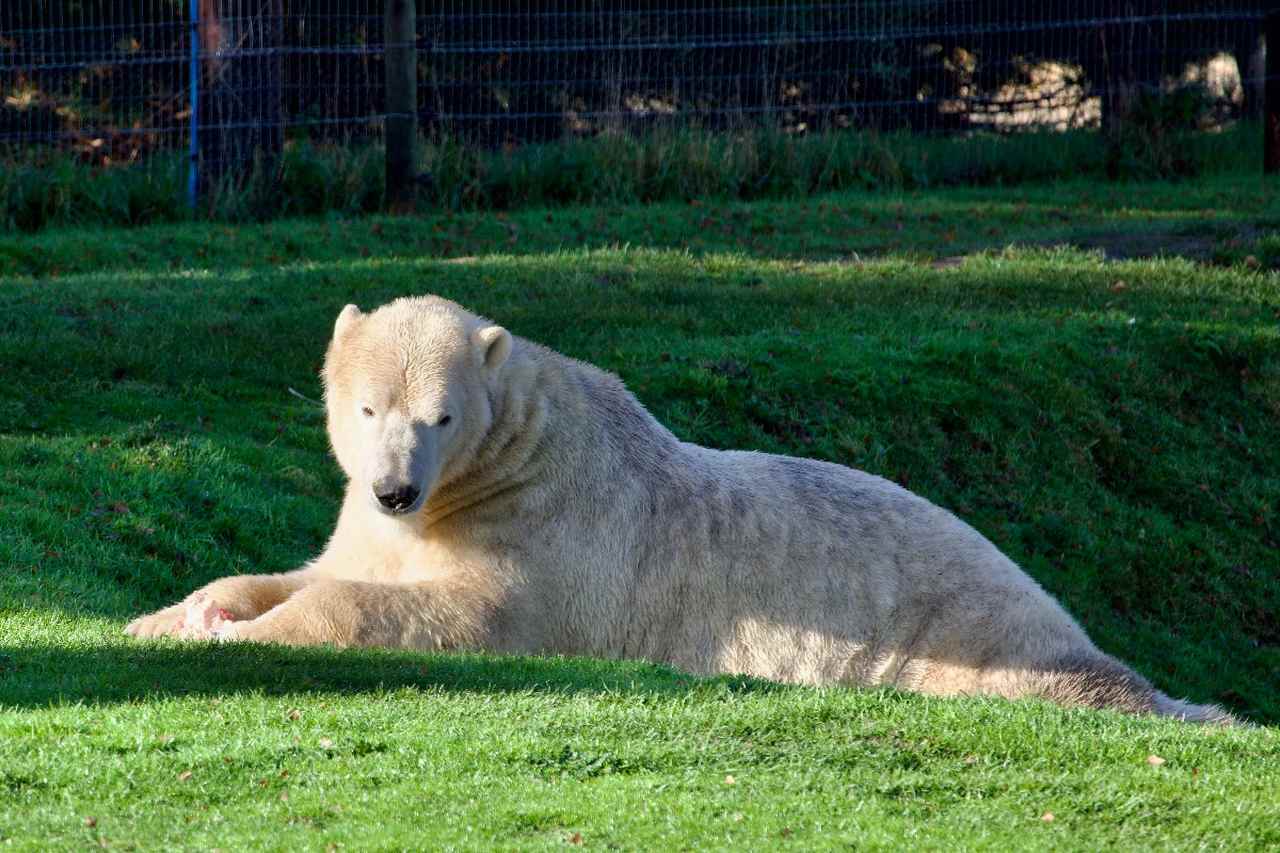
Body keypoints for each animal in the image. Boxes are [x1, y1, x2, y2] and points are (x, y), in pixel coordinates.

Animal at [126, 295, 1233, 724]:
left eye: (439, 414)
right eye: (366, 408)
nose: (397, 485)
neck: (505, 460)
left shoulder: (554, 534)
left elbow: (446, 610)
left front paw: (232, 634)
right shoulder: (377, 520)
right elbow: (315, 566)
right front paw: (174, 613)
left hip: (969, 640)